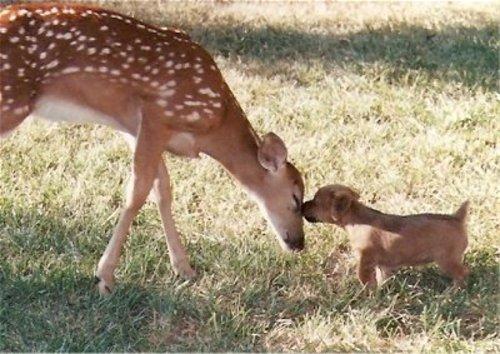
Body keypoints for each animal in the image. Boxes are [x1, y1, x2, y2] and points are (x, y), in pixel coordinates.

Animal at [302, 185, 470, 288]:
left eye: (316, 201)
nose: (302, 205)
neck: (356, 218)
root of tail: (457, 218)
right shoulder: (382, 265)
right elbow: (381, 278)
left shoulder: (365, 260)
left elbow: (364, 279)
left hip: (446, 261)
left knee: (462, 273)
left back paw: (451, 294)